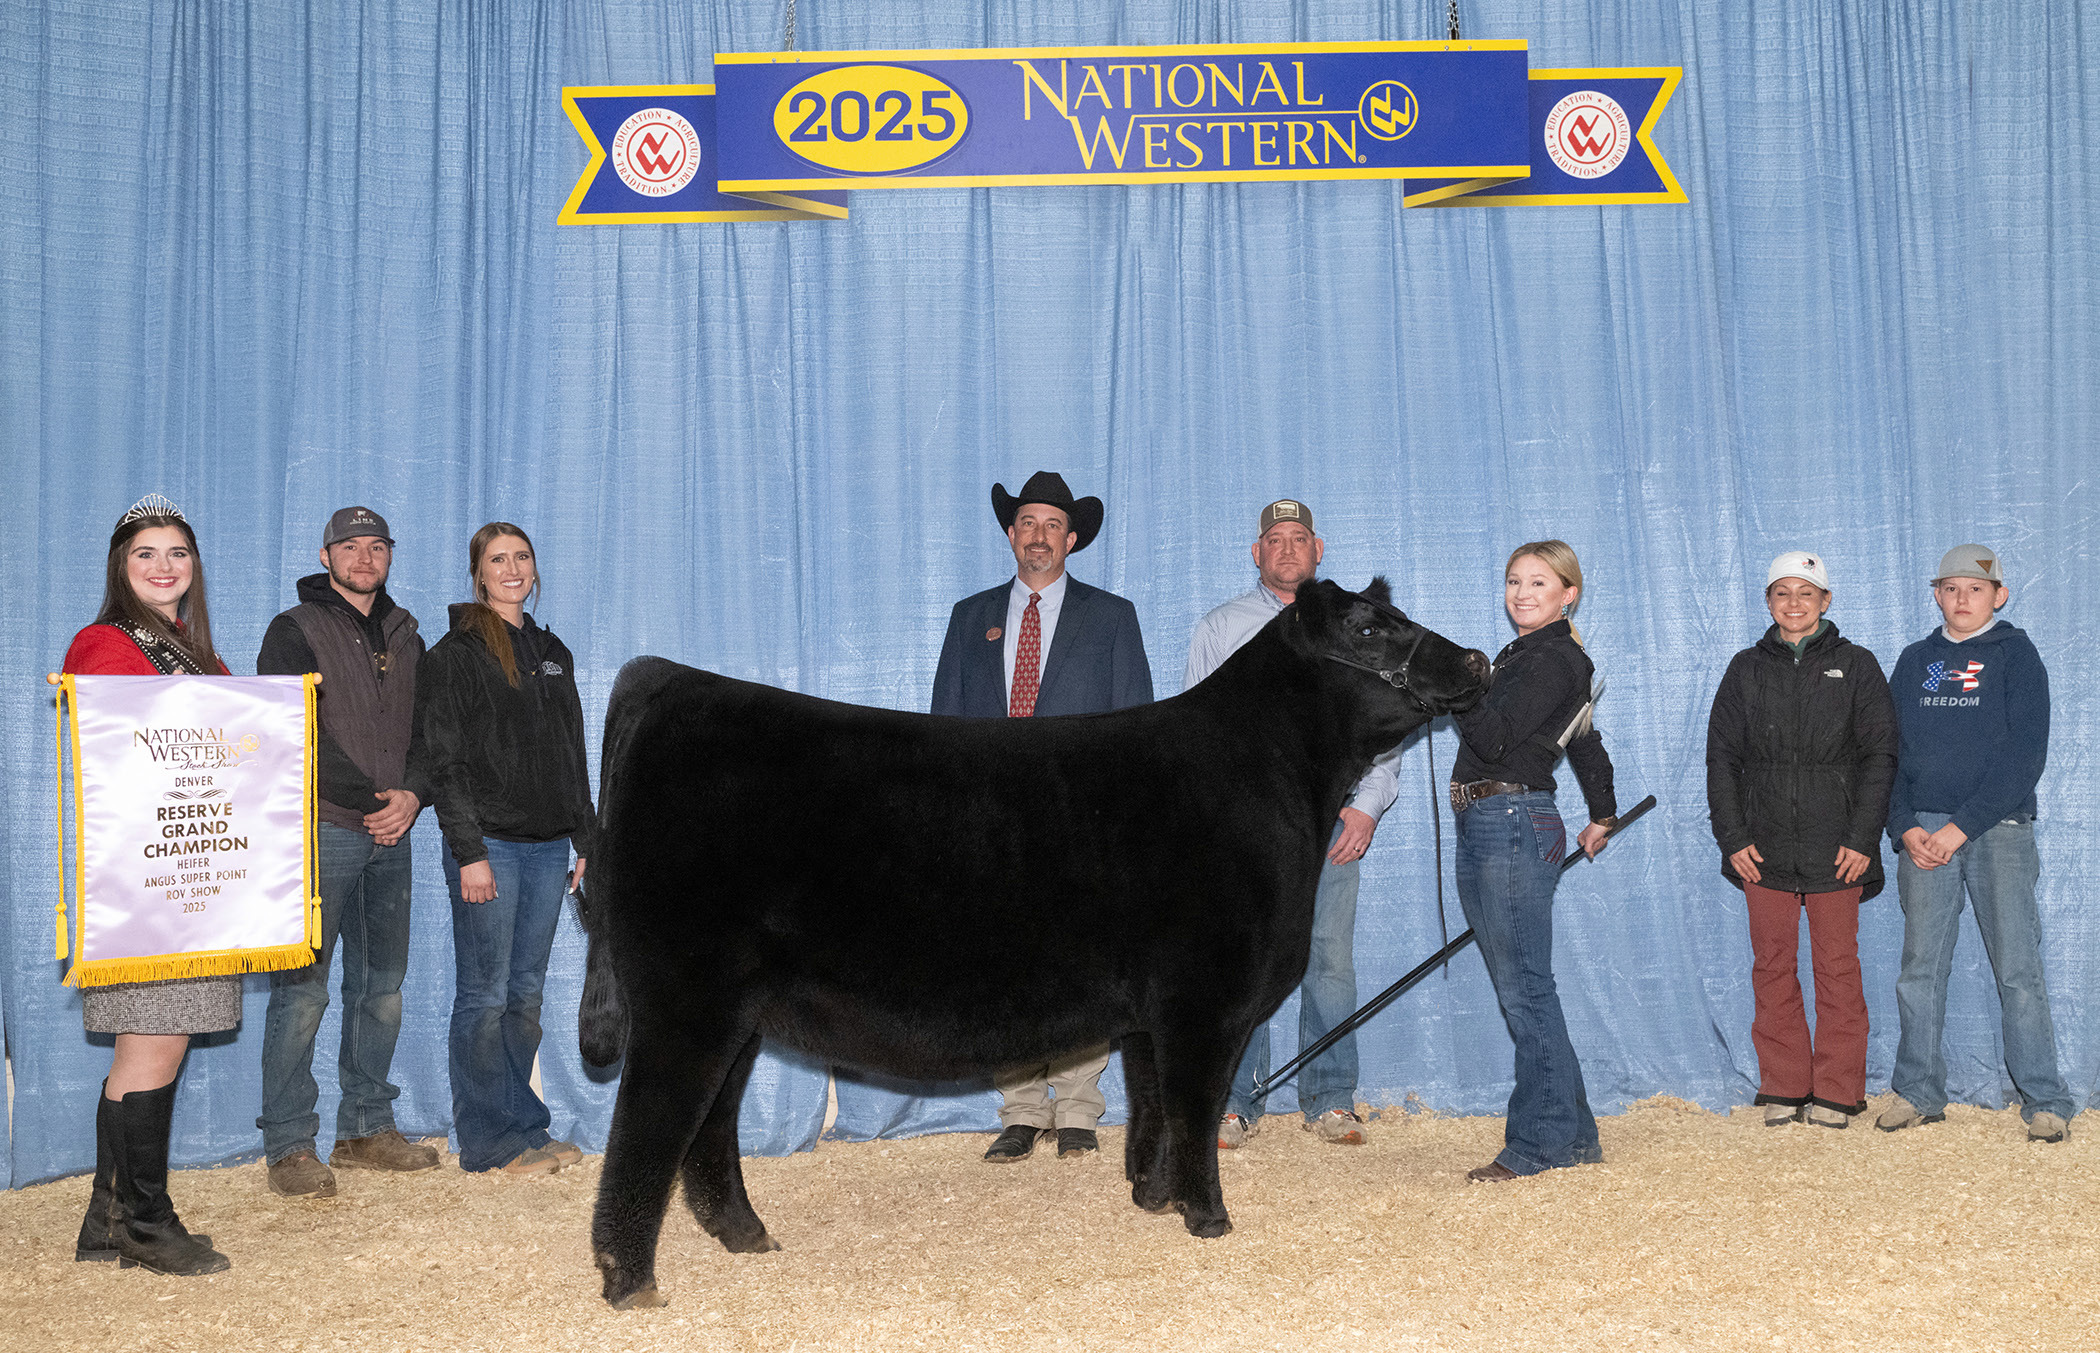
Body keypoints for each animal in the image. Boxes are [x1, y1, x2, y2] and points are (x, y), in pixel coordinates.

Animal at [576, 577, 1490, 1308]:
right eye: (1368, 628)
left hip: (740, 1009)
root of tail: (668, 679)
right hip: (686, 999)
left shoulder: (1153, 1008)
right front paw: (1208, 1216)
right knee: (648, 1125)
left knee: (711, 1125)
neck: (1270, 775)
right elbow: (1195, 1105)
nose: (1478, 659)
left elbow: (1152, 1100)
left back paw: (746, 1233)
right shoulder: (1207, 997)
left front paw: (1152, 1197)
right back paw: (631, 1280)